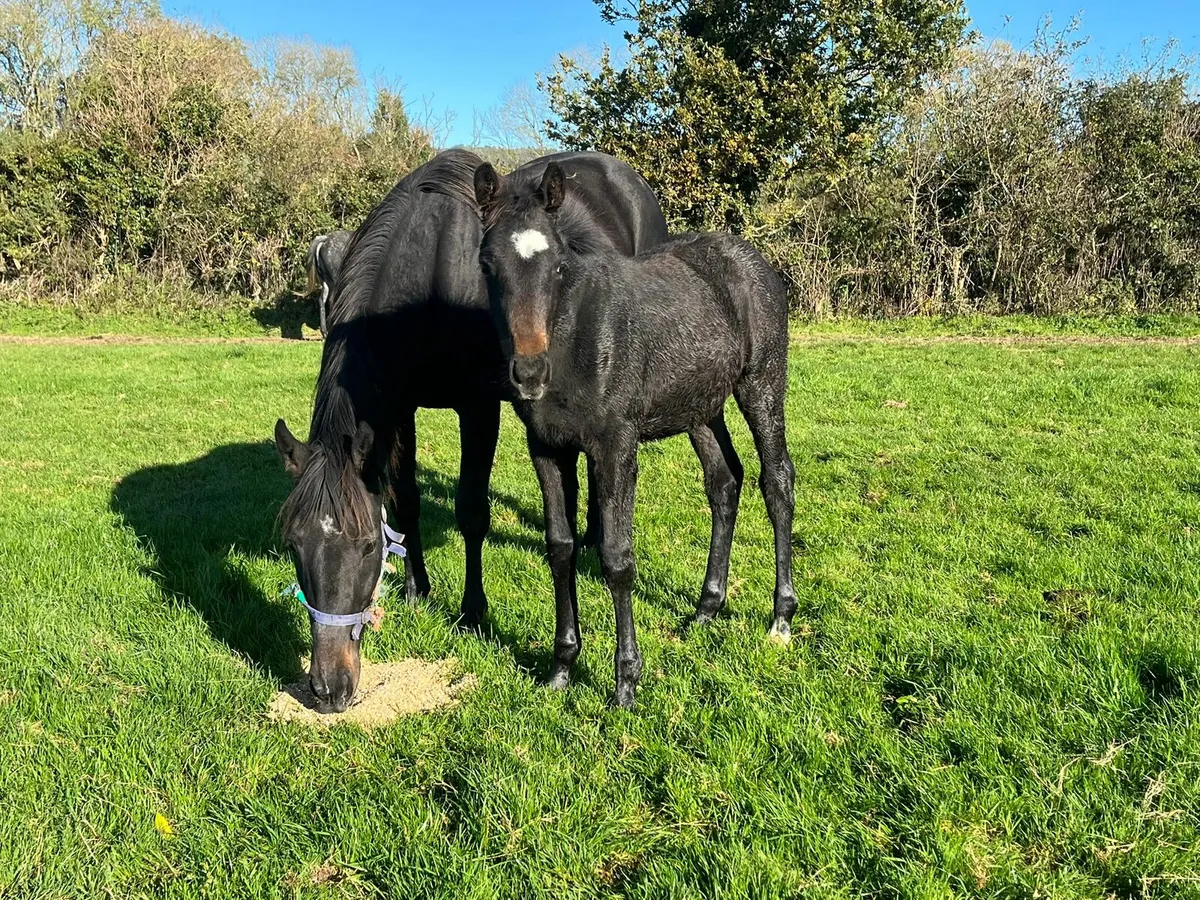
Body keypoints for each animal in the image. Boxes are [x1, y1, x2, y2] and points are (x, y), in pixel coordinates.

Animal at [273, 149, 668, 712]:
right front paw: (416, 588)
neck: (426, 273)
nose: (329, 688)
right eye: (294, 544)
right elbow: (405, 499)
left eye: (367, 547)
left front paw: (473, 609)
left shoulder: (479, 409)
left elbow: (472, 511)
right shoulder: (401, 409)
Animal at [473, 160, 798, 709]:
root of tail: (751, 258)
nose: (529, 373)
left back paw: (781, 616)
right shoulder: (547, 449)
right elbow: (560, 548)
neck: (576, 337)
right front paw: (561, 667)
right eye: (486, 264)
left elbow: (616, 558)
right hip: (700, 410)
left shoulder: (615, 448)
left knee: (776, 481)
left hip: (761, 386)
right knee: (724, 483)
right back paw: (706, 608)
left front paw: (626, 682)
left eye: (557, 266)